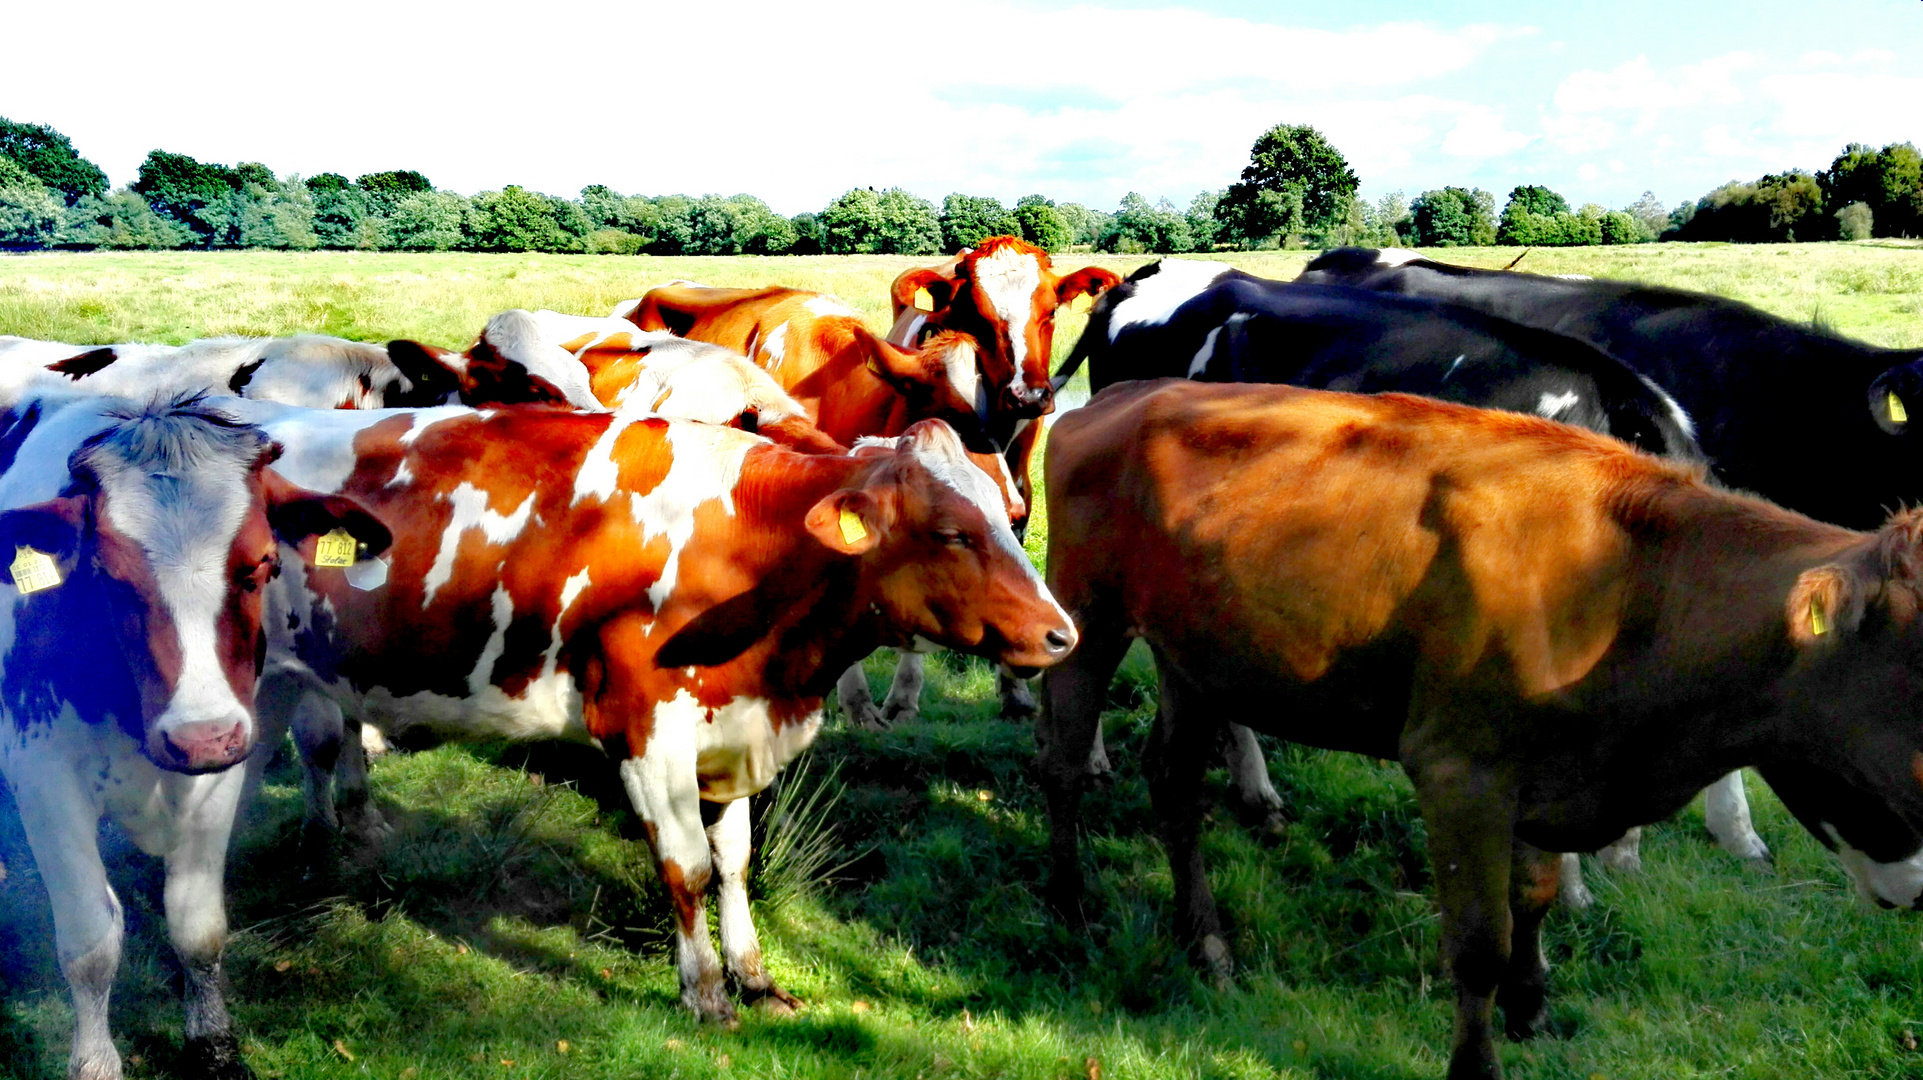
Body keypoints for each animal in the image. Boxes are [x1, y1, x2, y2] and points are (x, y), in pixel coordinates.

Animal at [0, 388, 390, 1076]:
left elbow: (197, 927)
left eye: (262, 564)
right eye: (108, 576)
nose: (199, 737)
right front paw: (95, 1061)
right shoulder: (44, 783)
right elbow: (91, 944)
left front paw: (212, 1041)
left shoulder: (223, 773)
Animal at [242, 399, 1076, 1022]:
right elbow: (687, 868)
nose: (1060, 633)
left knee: (302, 748)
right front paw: (704, 992)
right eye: (951, 533)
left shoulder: (733, 730)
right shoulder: (641, 731)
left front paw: (753, 976)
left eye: (1010, 514)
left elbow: (735, 859)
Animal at [1046, 378, 1923, 1076]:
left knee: (1173, 785)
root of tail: (1121, 395)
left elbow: (1533, 897)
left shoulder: (1543, 768)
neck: (1629, 586)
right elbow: (1477, 943)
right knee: (1061, 763)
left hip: (1194, 657)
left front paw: (1531, 1007)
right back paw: (1069, 910)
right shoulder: (1458, 771)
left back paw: (1206, 945)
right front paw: (1476, 1063)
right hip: (1085, 617)